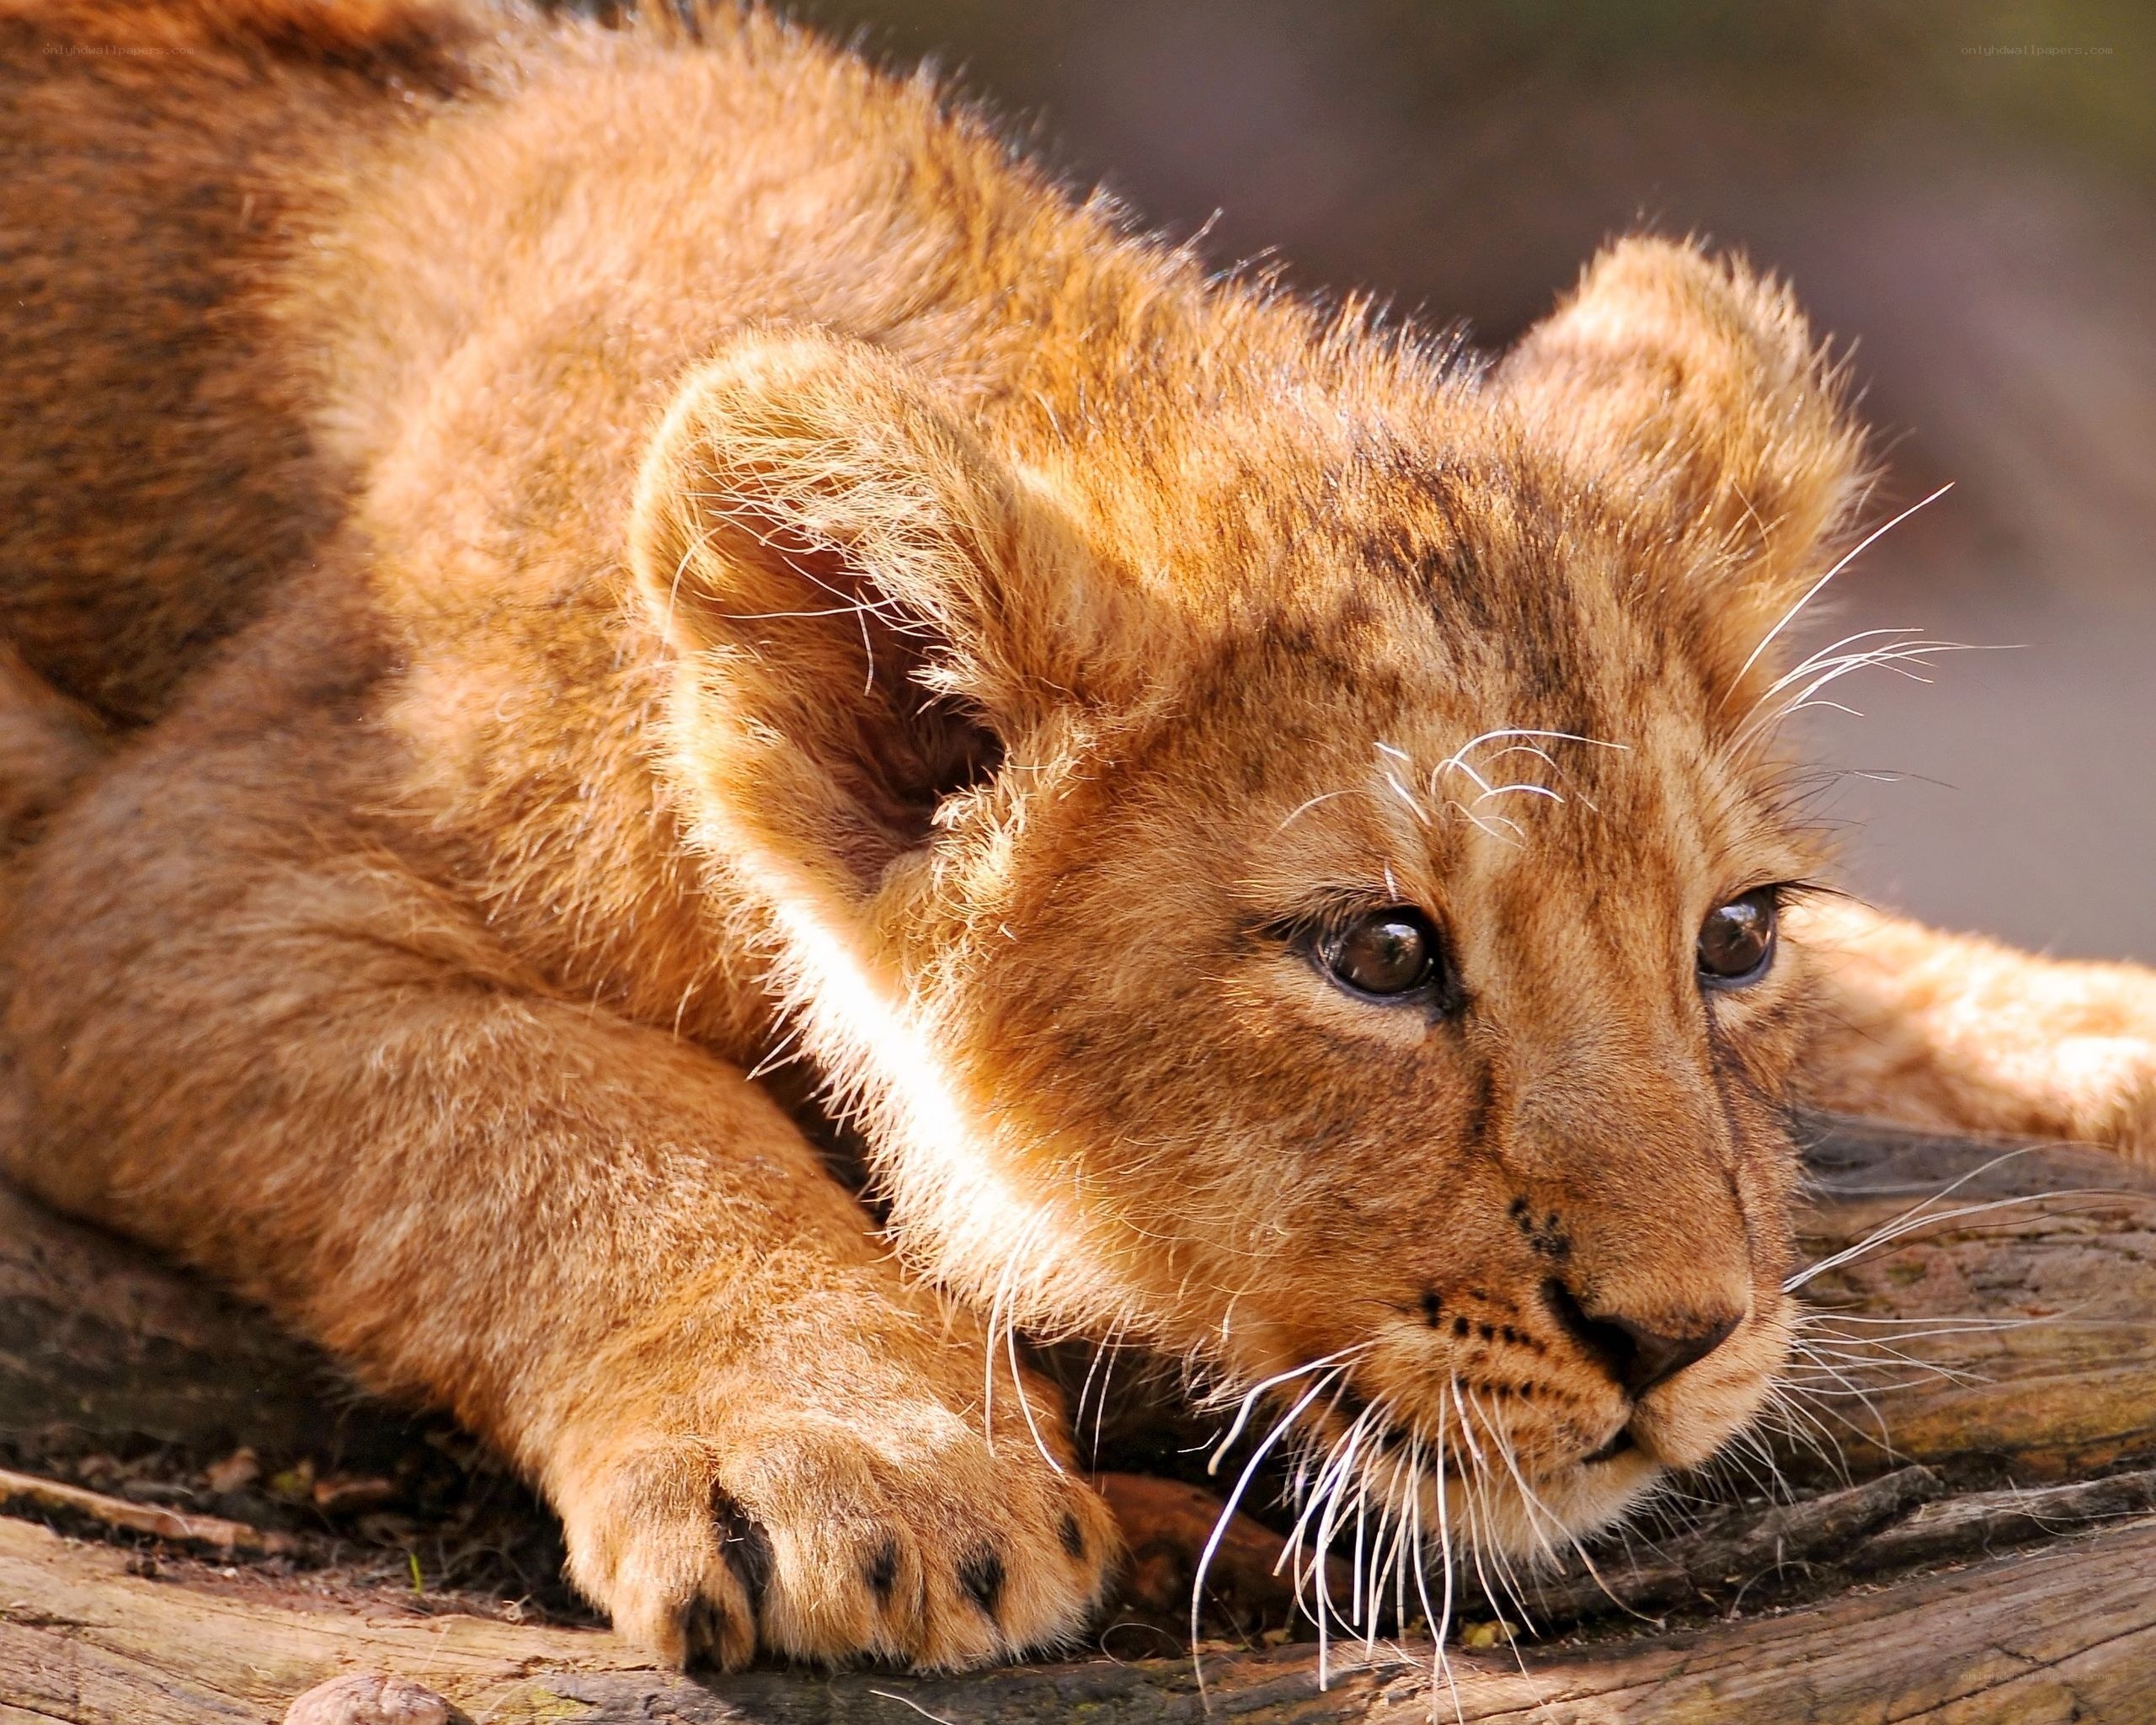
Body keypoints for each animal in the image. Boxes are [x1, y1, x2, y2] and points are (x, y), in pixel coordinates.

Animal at [1, 0, 2151, 1673]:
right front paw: (860, 1455)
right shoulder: (159, 876)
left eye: (1733, 937)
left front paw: (2093, 1041)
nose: (1680, 1339)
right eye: (1377, 953)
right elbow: (554, 1101)